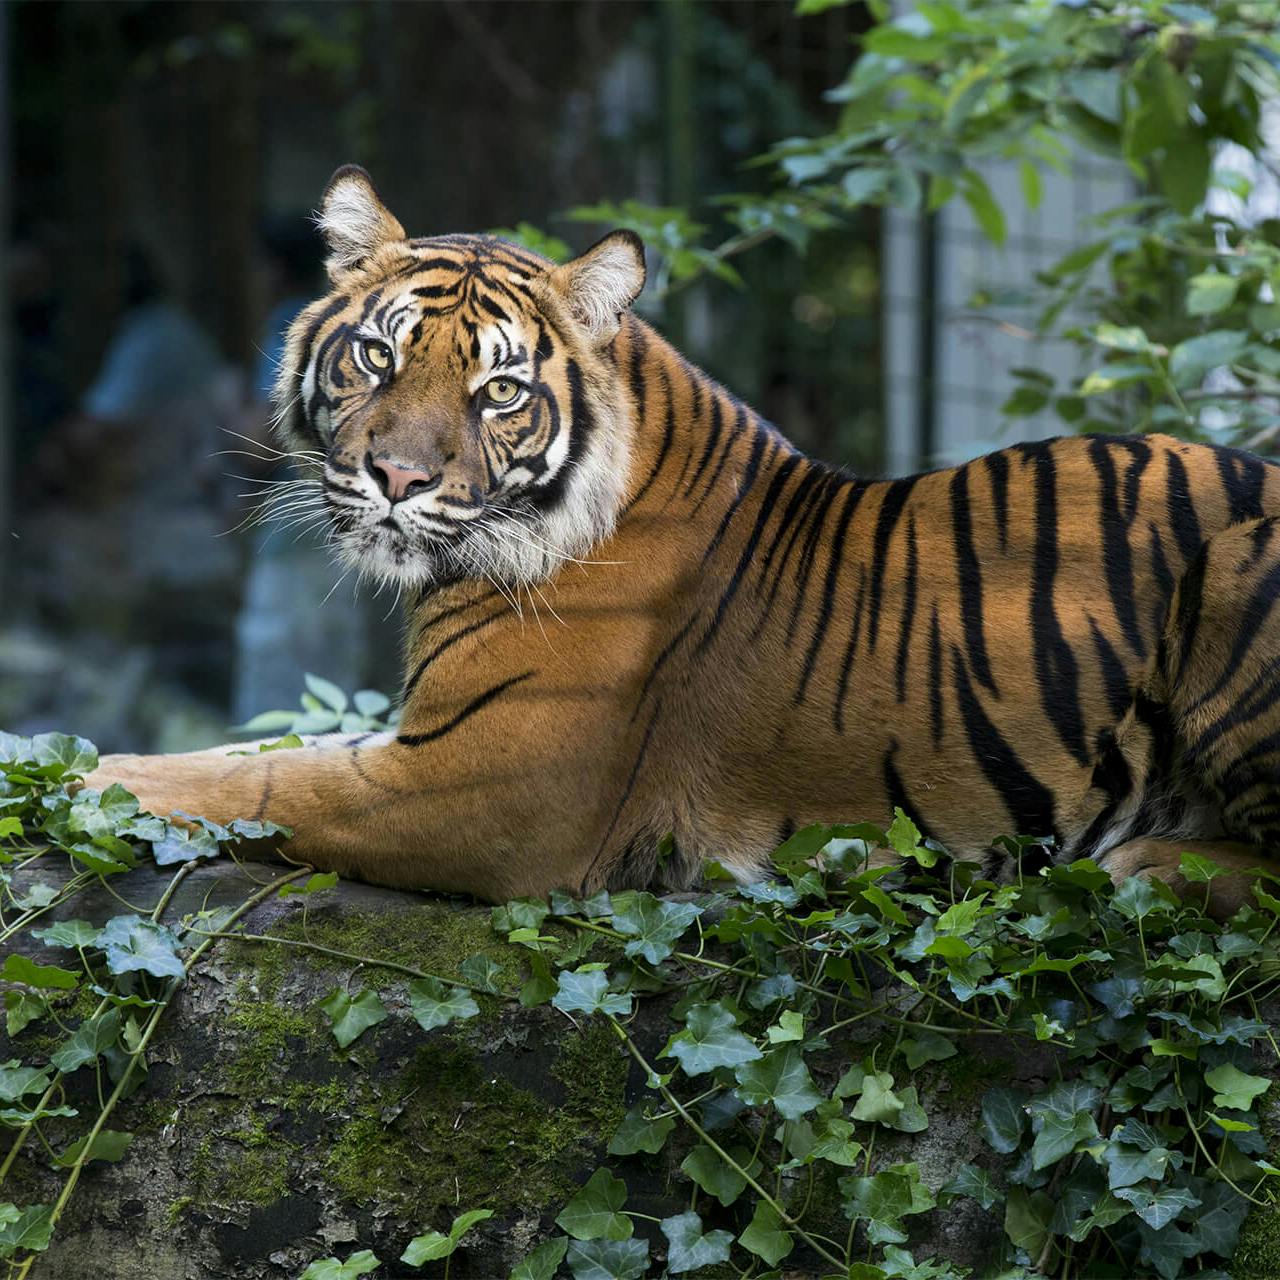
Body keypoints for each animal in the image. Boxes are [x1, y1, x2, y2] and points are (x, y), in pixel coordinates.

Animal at [85, 164, 1280, 911]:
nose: (397, 478)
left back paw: (1148, 865)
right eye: (378, 358)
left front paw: (91, 777)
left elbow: (259, 788)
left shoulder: (469, 790)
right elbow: (245, 755)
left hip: (1235, 571)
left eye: (498, 390)